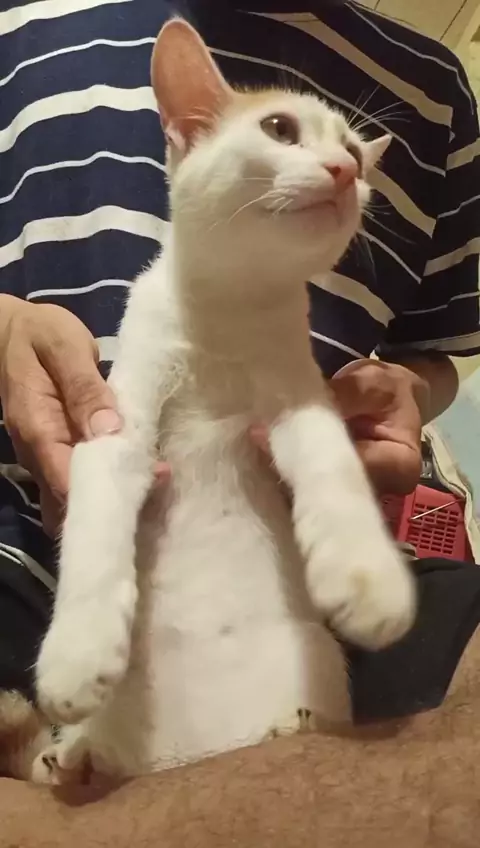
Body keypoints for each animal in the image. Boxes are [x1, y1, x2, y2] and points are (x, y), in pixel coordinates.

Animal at [29, 18, 415, 782]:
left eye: (357, 151)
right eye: (279, 128)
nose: (345, 170)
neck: (229, 315)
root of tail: (182, 757)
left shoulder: (302, 403)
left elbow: (334, 470)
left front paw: (366, 579)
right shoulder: (118, 426)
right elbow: (93, 531)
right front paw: (77, 655)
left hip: (309, 657)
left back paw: (290, 724)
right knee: (95, 753)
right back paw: (72, 756)